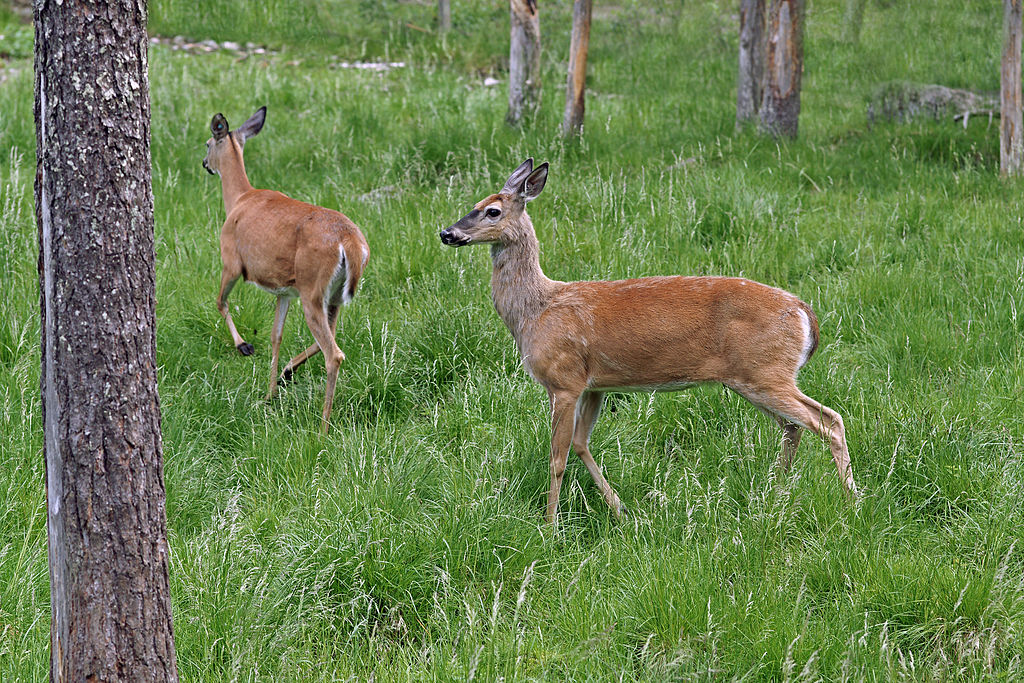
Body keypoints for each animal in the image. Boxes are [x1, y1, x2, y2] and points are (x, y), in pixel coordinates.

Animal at [201, 108, 370, 438]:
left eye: (207, 144)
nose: (204, 164)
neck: (239, 199)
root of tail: (350, 242)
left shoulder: (231, 261)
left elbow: (220, 302)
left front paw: (243, 346)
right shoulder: (285, 291)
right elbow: (276, 335)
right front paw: (270, 393)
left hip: (312, 288)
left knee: (334, 353)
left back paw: (323, 428)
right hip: (332, 296)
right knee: (331, 337)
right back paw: (287, 374)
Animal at [440, 157, 856, 528]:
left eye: (492, 211)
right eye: (473, 204)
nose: (447, 233)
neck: (534, 312)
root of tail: (805, 313)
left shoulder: (563, 379)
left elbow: (557, 457)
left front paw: (550, 527)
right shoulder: (594, 386)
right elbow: (581, 444)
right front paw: (622, 511)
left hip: (765, 371)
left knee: (828, 420)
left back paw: (850, 500)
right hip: (754, 377)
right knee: (794, 426)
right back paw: (777, 491)